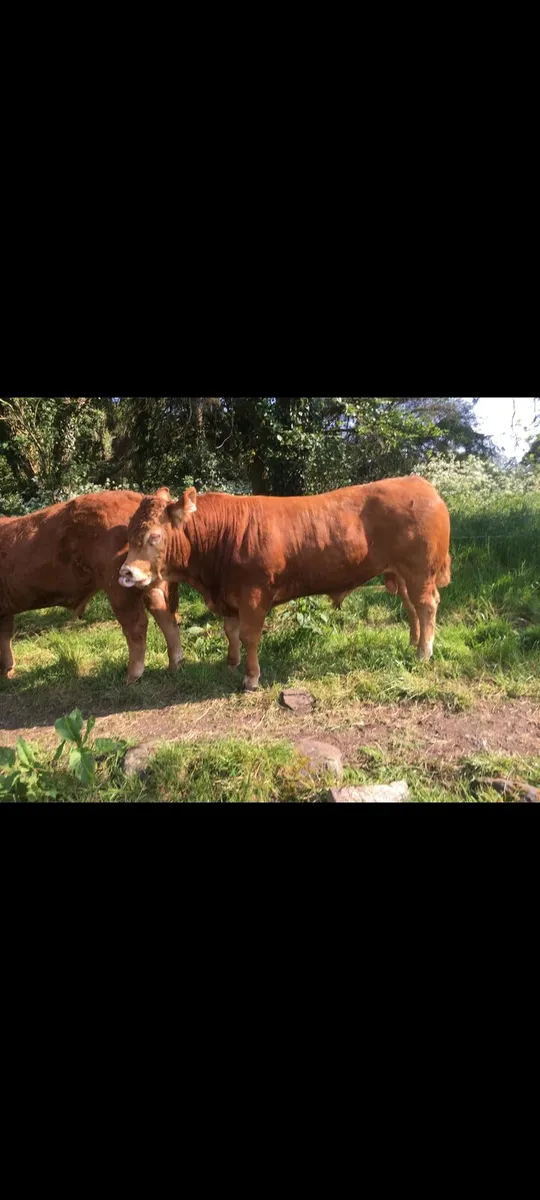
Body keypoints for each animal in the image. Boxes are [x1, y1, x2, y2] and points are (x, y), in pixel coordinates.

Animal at [0, 491, 182, 683]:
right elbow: (5, 637)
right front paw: (7, 671)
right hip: (149, 586)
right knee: (164, 615)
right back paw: (174, 664)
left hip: (118, 588)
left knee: (137, 625)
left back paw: (132, 675)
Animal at [119, 477, 451, 690]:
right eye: (130, 532)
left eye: (154, 536)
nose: (126, 573)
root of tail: (422, 484)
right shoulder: (228, 595)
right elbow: (231, 631)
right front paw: (231, 662)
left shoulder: (253, 596)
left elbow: (250, 635)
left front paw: (251, 677)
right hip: (402, 574)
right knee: (412, 607)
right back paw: (413, 643)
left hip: (420, 571)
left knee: (427, 605)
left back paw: (424, 652)